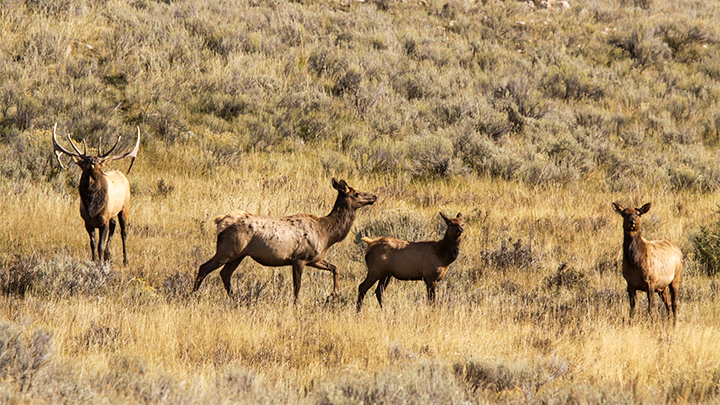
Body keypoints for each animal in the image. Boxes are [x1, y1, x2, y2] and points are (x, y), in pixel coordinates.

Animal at [52, 123, 139, 266]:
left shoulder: (104, 220)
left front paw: (100, 264)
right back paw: (109, 256)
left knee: (124, 232)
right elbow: (92, 244)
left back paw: (125, 260)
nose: (92, 160)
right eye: (85, 159)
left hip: (125, 207)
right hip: (112, 213)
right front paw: (94, 261)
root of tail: (122, 174)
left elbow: (100, 246)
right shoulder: (87, 222)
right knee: (114, 225)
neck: (93, 207)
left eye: (98, 161)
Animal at [194, 178, 380, 302]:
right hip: (227, 249)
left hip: (238, 254)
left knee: (225, 274)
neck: (327, 234)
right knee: (204, 267)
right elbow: (297, 286)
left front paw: (332, 294)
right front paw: (296, 305)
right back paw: (193, 295)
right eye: (357, 193)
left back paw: (235, 298)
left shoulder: (314, 259)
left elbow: (335, 268)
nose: (374, 196)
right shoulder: (299, 258)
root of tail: (220, 222)